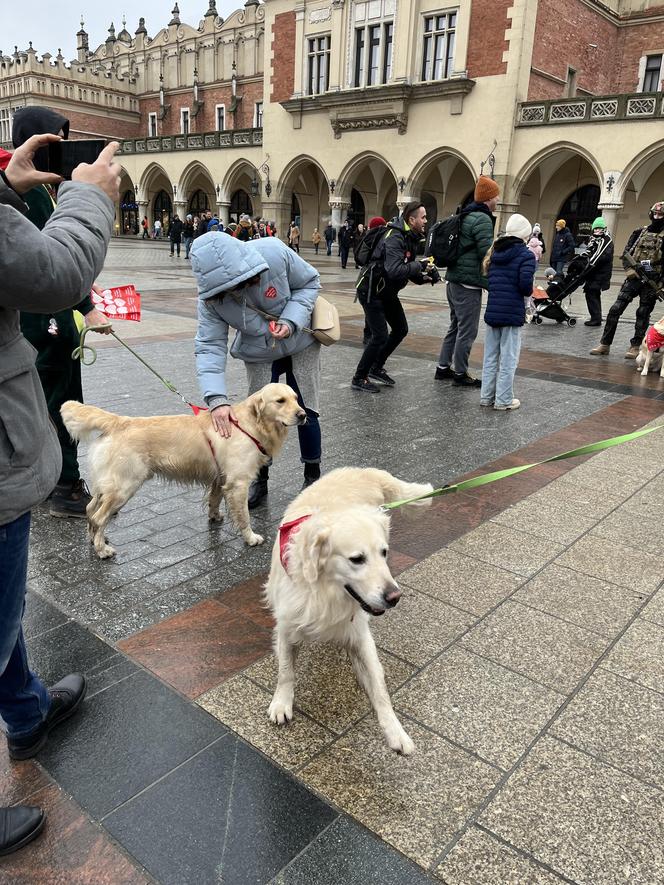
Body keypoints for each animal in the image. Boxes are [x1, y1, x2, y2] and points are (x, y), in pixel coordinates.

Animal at [262, 466, 434, 756]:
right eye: (357, 559)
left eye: (384, 553)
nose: (394, 597)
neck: (324, 593)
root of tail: (364, 471)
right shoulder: (286, 625)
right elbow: (286, 671)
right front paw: (281, 703)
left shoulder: (360, 632)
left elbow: (379, 686)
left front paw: (395, 731)